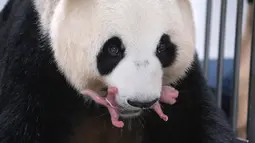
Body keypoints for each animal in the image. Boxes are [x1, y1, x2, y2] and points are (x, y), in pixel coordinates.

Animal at [0, 0, 235, 143]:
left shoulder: (183, 83)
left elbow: (198, 122)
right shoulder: (33, 59)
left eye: (163, 47)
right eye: (113, 49)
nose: (142, 101)